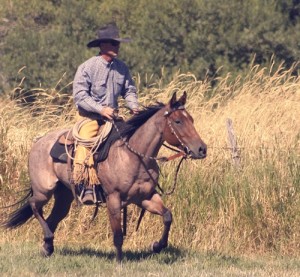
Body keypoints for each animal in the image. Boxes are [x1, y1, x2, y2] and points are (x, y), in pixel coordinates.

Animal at [2, 92, 207, 260]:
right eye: (178, 121)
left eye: (191, 119)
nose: (201, 149)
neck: (133, 156)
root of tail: (38, 142)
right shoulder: (113, 199)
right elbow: (117, 234)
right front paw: (119, 262)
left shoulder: (145, 197)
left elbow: (167, 216)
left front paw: (157, 246)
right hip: (44, 190)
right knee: (34, 205)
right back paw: (48, 239)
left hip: (64, 196)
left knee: (53, 218)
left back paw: (47, 248)